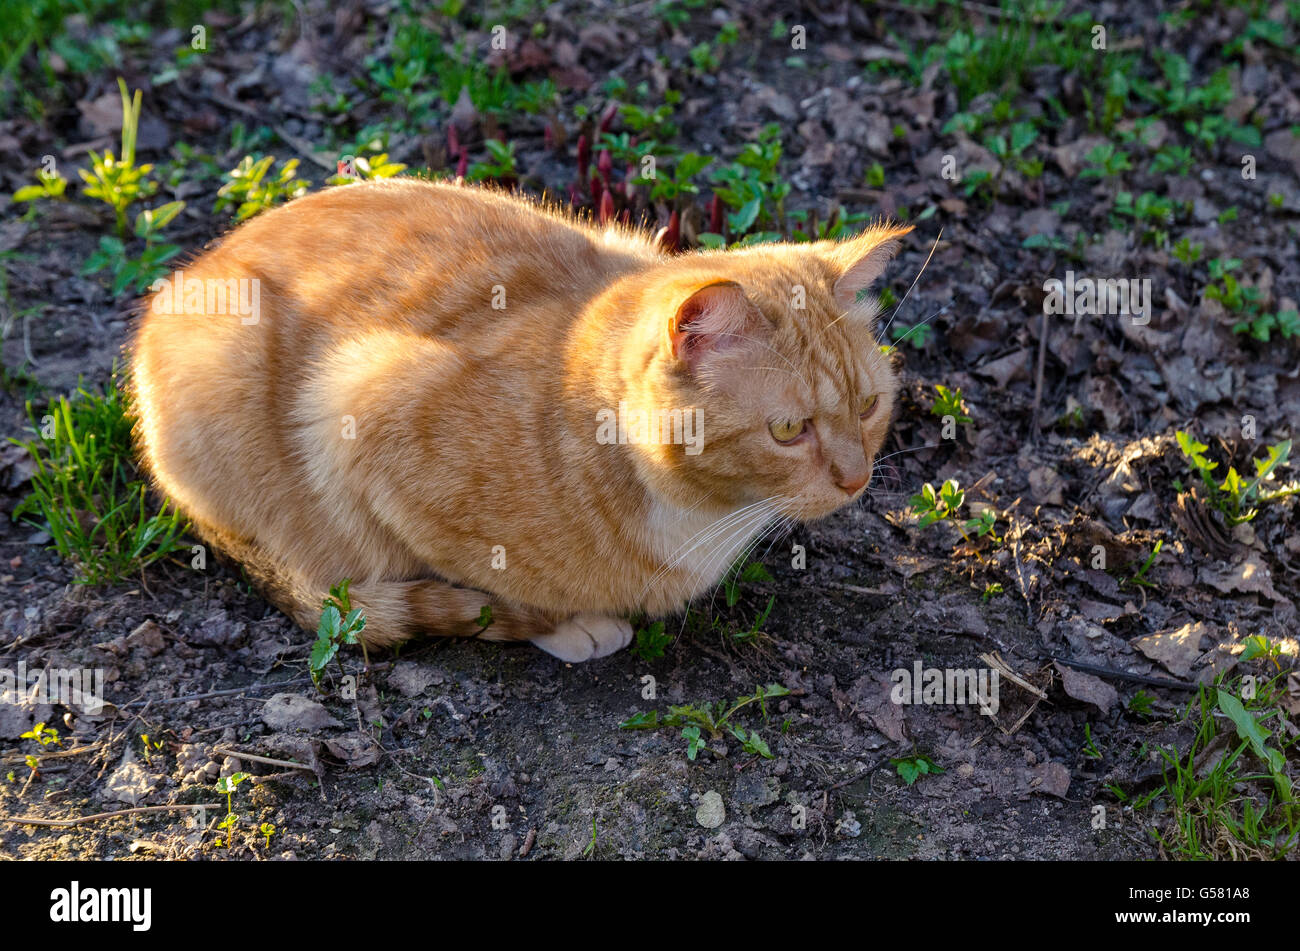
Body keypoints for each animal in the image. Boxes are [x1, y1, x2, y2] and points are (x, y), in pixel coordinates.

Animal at [129, 177, 904, 659]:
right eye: (788, 430)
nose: (856, 479)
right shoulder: (357, 417)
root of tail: (195, 268)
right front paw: (565, 625)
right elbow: (491, 587)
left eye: (869, 406)